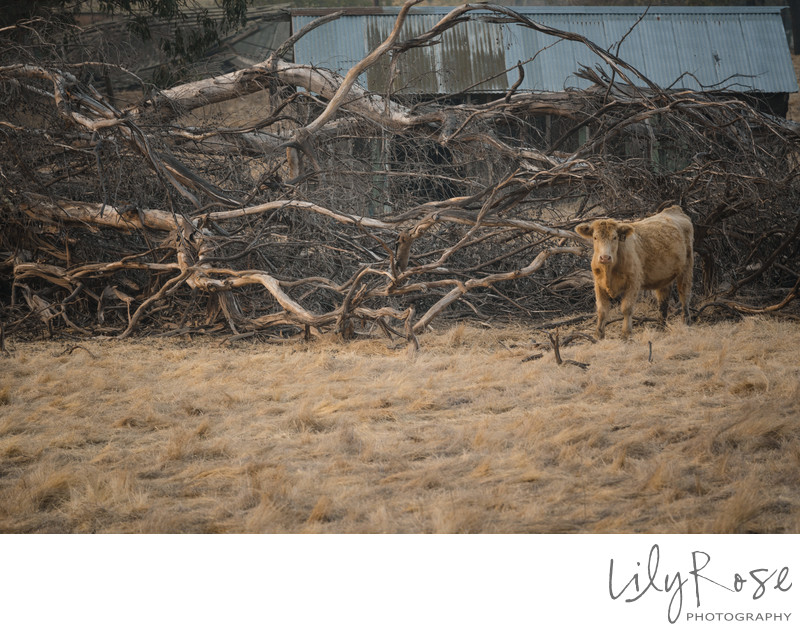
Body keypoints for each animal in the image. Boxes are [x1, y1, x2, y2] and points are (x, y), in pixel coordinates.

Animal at [576, 205, 692, 338]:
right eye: (595, 237)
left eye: (615, 237)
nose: (605, 257)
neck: (609, 270)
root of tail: (674, 209)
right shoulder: (598, 284)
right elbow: (602, 310)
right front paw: (598, 334)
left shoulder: (633, 282)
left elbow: (626, 308)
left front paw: (626, 333)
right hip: (664, 276)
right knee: (663, 299)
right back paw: (660, 327)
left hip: (687, 268)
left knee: (684, 295)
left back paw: (686, 323)